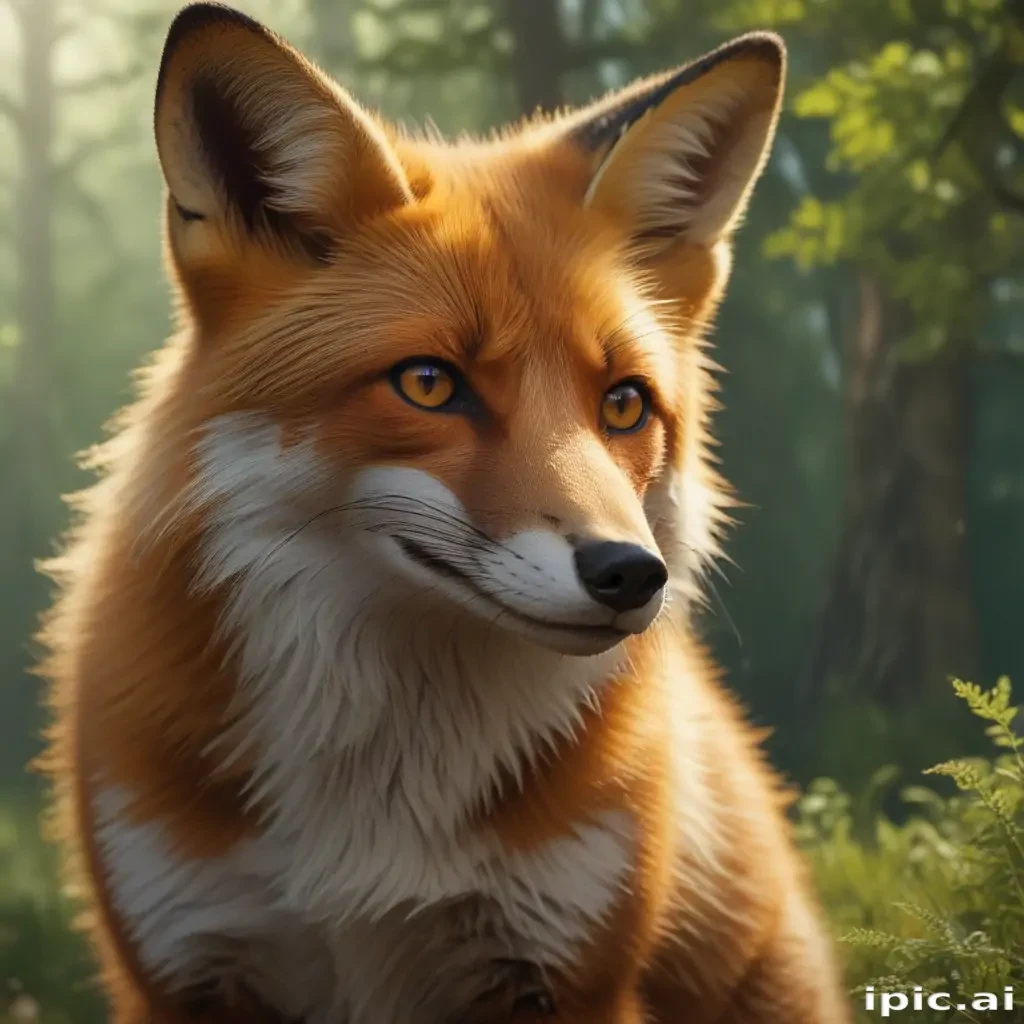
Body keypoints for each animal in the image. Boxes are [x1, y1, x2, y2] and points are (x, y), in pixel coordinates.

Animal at [35, 3, 851, 1023]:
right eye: (428, 384)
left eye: (624, 404)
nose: (631, 574)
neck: (374, 814)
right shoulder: (185, 966)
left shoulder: (570, 970)